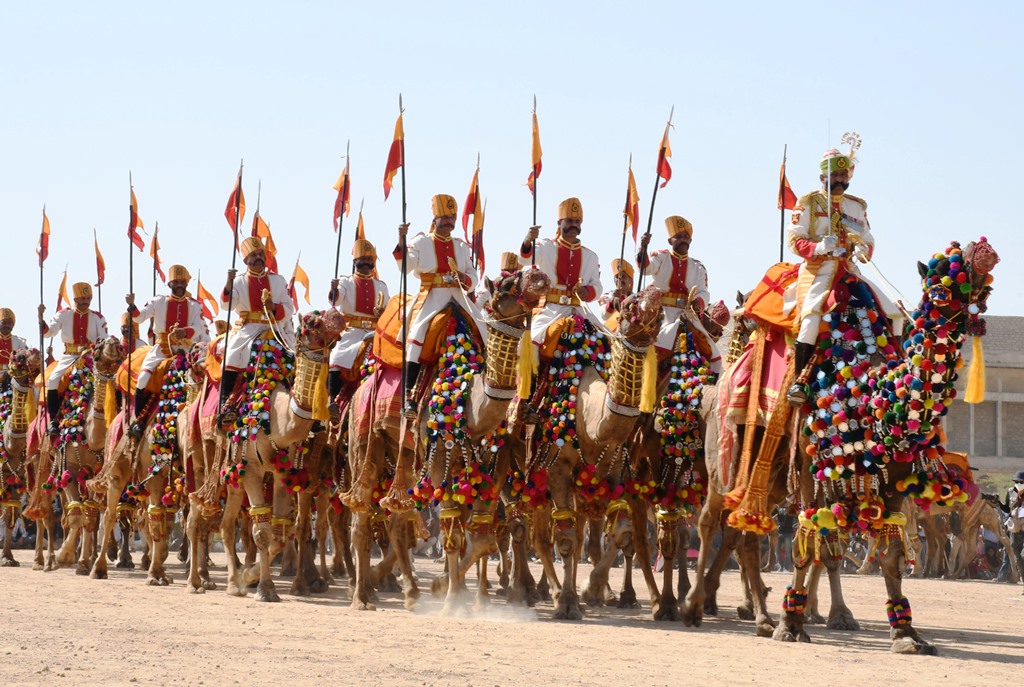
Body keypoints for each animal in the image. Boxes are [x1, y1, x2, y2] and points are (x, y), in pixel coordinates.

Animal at [342, 264, 552, 614]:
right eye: (507, 284)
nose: (540, 276)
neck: (469, 402)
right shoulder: (441, 456)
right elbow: (452, 534)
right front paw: (452, 600)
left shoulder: (490, 466)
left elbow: (481, 539)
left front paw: (447, 588)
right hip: (363, 438)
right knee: (360, 518)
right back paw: (361, 597)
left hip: (401, 453)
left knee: (397, 521)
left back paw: (410, 593)